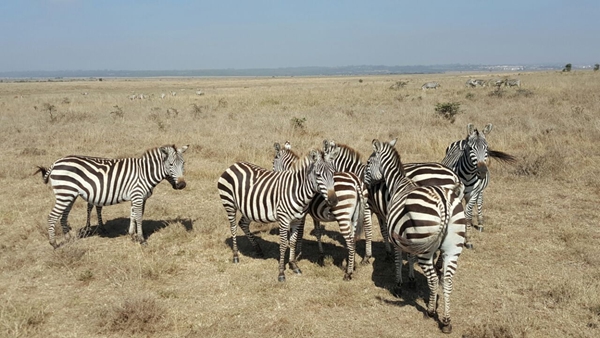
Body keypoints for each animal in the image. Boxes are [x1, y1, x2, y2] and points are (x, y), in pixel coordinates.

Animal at [34, 145, 188, 248]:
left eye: (183, 164)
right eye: (170, 164)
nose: (181, 185)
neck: (144, 173)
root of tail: (56, 162)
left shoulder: (137, 197)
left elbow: (133, 215)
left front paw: (132, 235)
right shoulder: (138, 196)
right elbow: (138, 217)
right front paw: (141, 239)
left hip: (70, 195)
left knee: (64, 216)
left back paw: (68, 238)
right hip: (65, 193)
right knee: (52, 216)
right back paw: (54, 243)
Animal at [216, 148, 340, 282]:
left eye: (333, 174)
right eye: (318, 175)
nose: (334, 201)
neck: (297, 190)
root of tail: (234, 165)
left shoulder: (297, 220)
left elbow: (293, 241)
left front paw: (294, 265)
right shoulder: (284, 219)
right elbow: (284, 244)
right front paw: (281, 273)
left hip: (249, 208)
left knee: (242, 223)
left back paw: (258, 249)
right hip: (229, 203)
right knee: (233, 227)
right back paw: (235, 256)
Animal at [272, 141, 366, 282]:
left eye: (273, 162)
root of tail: (355, 181)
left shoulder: (303, 213)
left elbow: (299, 233)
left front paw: (297, 253)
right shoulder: (315, 214)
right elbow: (317, 232)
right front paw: (321, 254)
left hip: (343, 215)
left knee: (350, 240)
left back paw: (348, 273)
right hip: (354, 216)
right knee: (353, 240)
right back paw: (352, 264)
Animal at [364, 139, 466, 334]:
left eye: (368, 163)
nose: (365, 186)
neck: (399, 184)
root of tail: (444, 203)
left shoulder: (396, 237)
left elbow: (398, 260)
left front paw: (398, 285)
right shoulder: (409, 238)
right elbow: (409, 257)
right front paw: (411, 280)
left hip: (426, 250)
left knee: (433, 278)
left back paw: (431, 311)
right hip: (452, 249)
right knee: (447, 280)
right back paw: (446, 321)